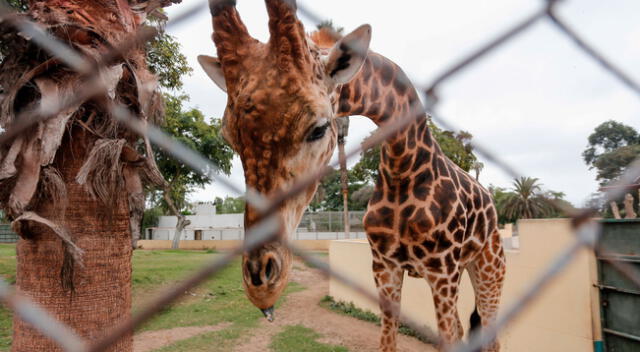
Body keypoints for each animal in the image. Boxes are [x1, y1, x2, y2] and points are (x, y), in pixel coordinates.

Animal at [198, 1, 508, 350]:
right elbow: (388, 340)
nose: (261, 286)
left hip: (488, 266)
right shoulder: (385, 267)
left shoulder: (442, 270)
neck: (403, 170)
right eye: (229, 137)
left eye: (319, 128)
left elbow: (449, 337)